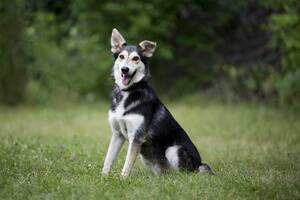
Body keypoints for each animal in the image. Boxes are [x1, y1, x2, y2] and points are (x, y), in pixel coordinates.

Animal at [102, 28, 210, 177]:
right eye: (121, 57)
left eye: (136, 58)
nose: (125, 69)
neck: (128, 92)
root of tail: (199, 164)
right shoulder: (117, 134)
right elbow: (108, 159)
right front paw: (103, 177)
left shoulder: (136, 138)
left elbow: (127, 164)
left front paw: (122, 179)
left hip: (174, 150)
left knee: (184, 175)